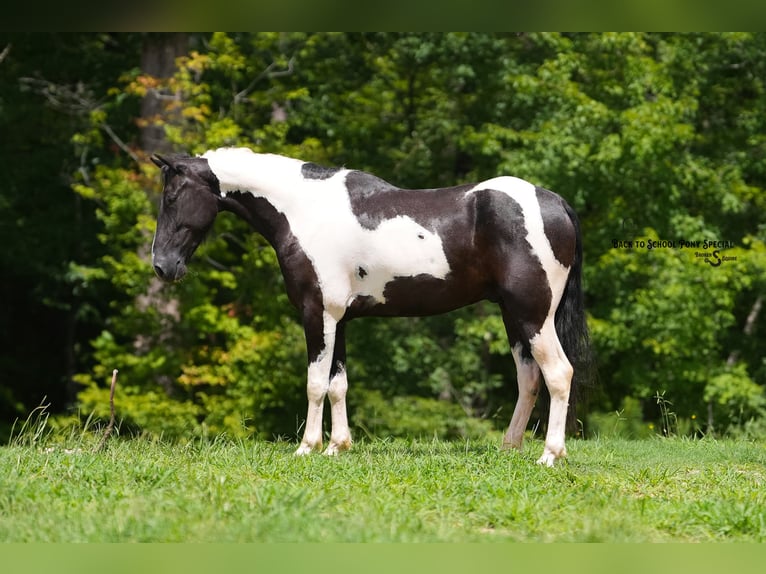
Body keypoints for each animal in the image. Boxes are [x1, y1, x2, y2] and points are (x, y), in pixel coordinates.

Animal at [150, 146, 590, 466]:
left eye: (171, 197)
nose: (162, 265)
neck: (303, 210)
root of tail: (555, 202)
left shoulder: (317, 313)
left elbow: (315, 382)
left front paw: (307, 447)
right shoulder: (339, 318)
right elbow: (338, 383)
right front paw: (337, 446)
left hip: (533, 315)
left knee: (558, 374)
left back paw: (550, 455)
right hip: (513, 316)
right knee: (529, 378)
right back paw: (510, 447)